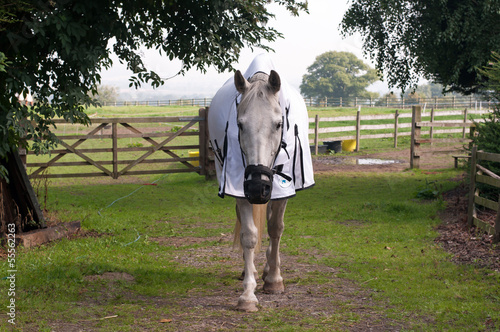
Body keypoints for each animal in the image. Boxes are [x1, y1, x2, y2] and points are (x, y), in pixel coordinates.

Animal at [207, 53, 312, 312]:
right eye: (240, 124)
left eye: (278, 124)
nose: (257, 187)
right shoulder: (241, 189)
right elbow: (249, 235)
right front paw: (248, 295)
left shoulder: (282, 190)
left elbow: (275, 228)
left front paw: (274, 279)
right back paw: (253, 270)